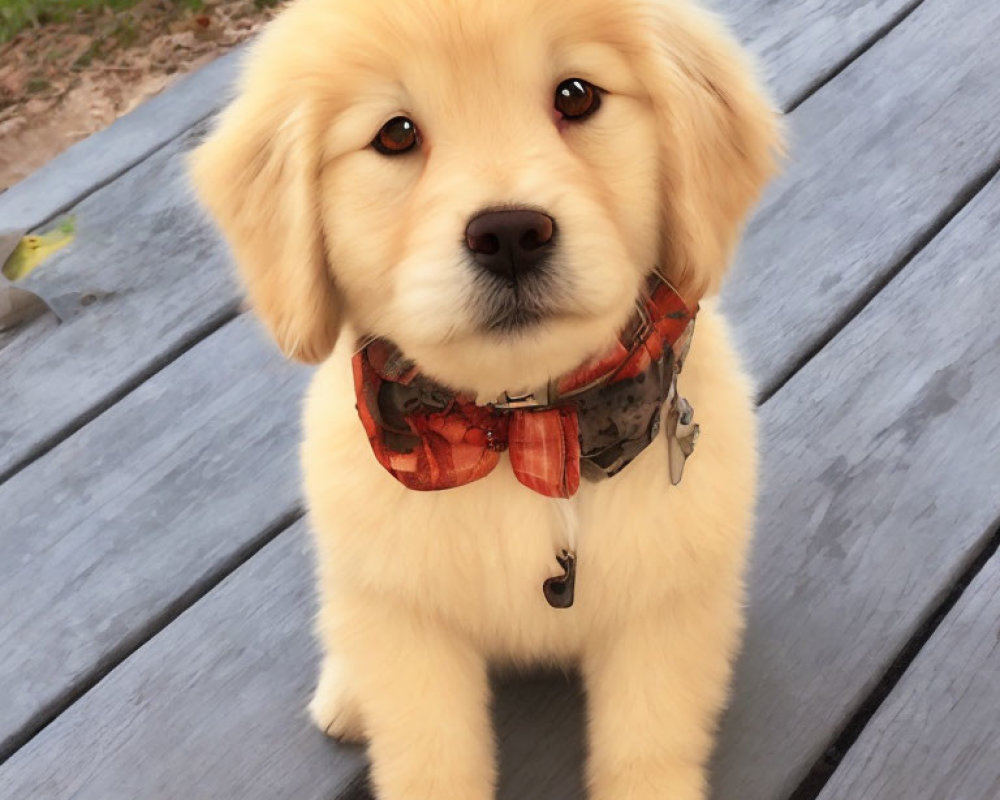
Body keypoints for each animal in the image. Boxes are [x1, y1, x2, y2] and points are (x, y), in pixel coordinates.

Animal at [188, 3, 780, 796]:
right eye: (396, 134)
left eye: (576, 96)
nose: (510, 234)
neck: (519, 432)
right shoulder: (409, 629)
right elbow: (430, 759)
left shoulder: (666, 611)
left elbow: (646, 748)